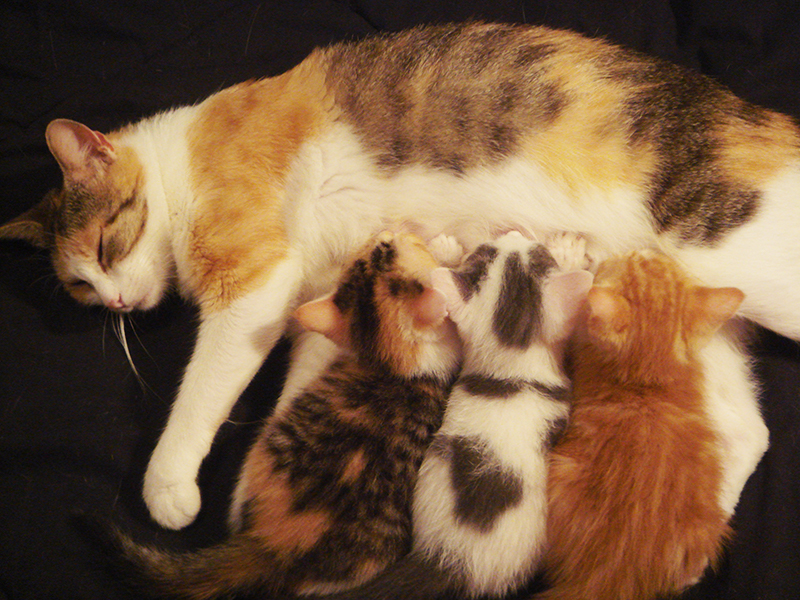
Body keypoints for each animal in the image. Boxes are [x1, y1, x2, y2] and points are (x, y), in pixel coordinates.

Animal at [0, 22, 788, 528]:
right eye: (79, 288)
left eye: (105, 246)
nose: (116, 302)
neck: (179, 163)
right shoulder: (319, 305)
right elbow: (299, 386)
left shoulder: (253, 281)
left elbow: (200, 391)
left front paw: (167, 485)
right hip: (685, 314)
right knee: (749, 431)